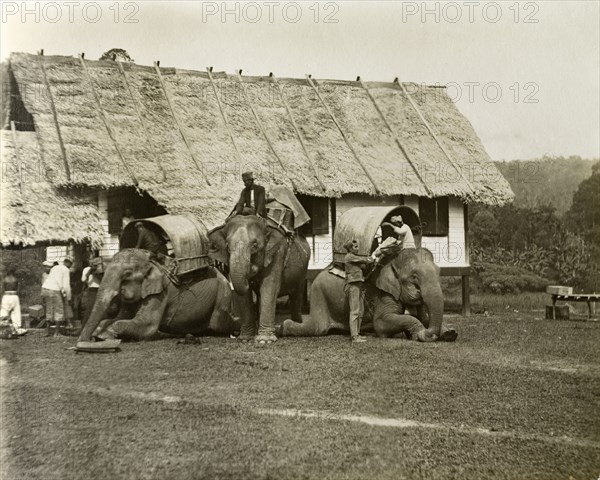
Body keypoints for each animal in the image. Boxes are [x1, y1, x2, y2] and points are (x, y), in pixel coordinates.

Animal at [75, 248, 234, 342]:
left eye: (127, 275)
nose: (85, 342)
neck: (151, 263)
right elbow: (120, 317)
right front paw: (98, 332)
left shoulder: (160, 292)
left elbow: (147, 325)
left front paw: (104, 335)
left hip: (223, 295)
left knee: (218, 324)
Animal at [207, 215, 310, 344]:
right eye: (227, 246)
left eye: (255, 245)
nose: (252, 271)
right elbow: (242, 295)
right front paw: (245, 339)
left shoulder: (277, 253)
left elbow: (269, 288)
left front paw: (264, 341)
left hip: (303, 269)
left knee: (296, 295)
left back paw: (296, 325)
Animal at [280, 248, 454, 342]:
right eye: (414, 277)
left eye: (439, 272)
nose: (429, 335)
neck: (392, 260)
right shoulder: (384, 293)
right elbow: (382, 324)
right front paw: (419, 333)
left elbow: (424, 316)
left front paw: (450, 333)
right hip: (319, 293)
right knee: (318, 327)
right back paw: (282, 327)